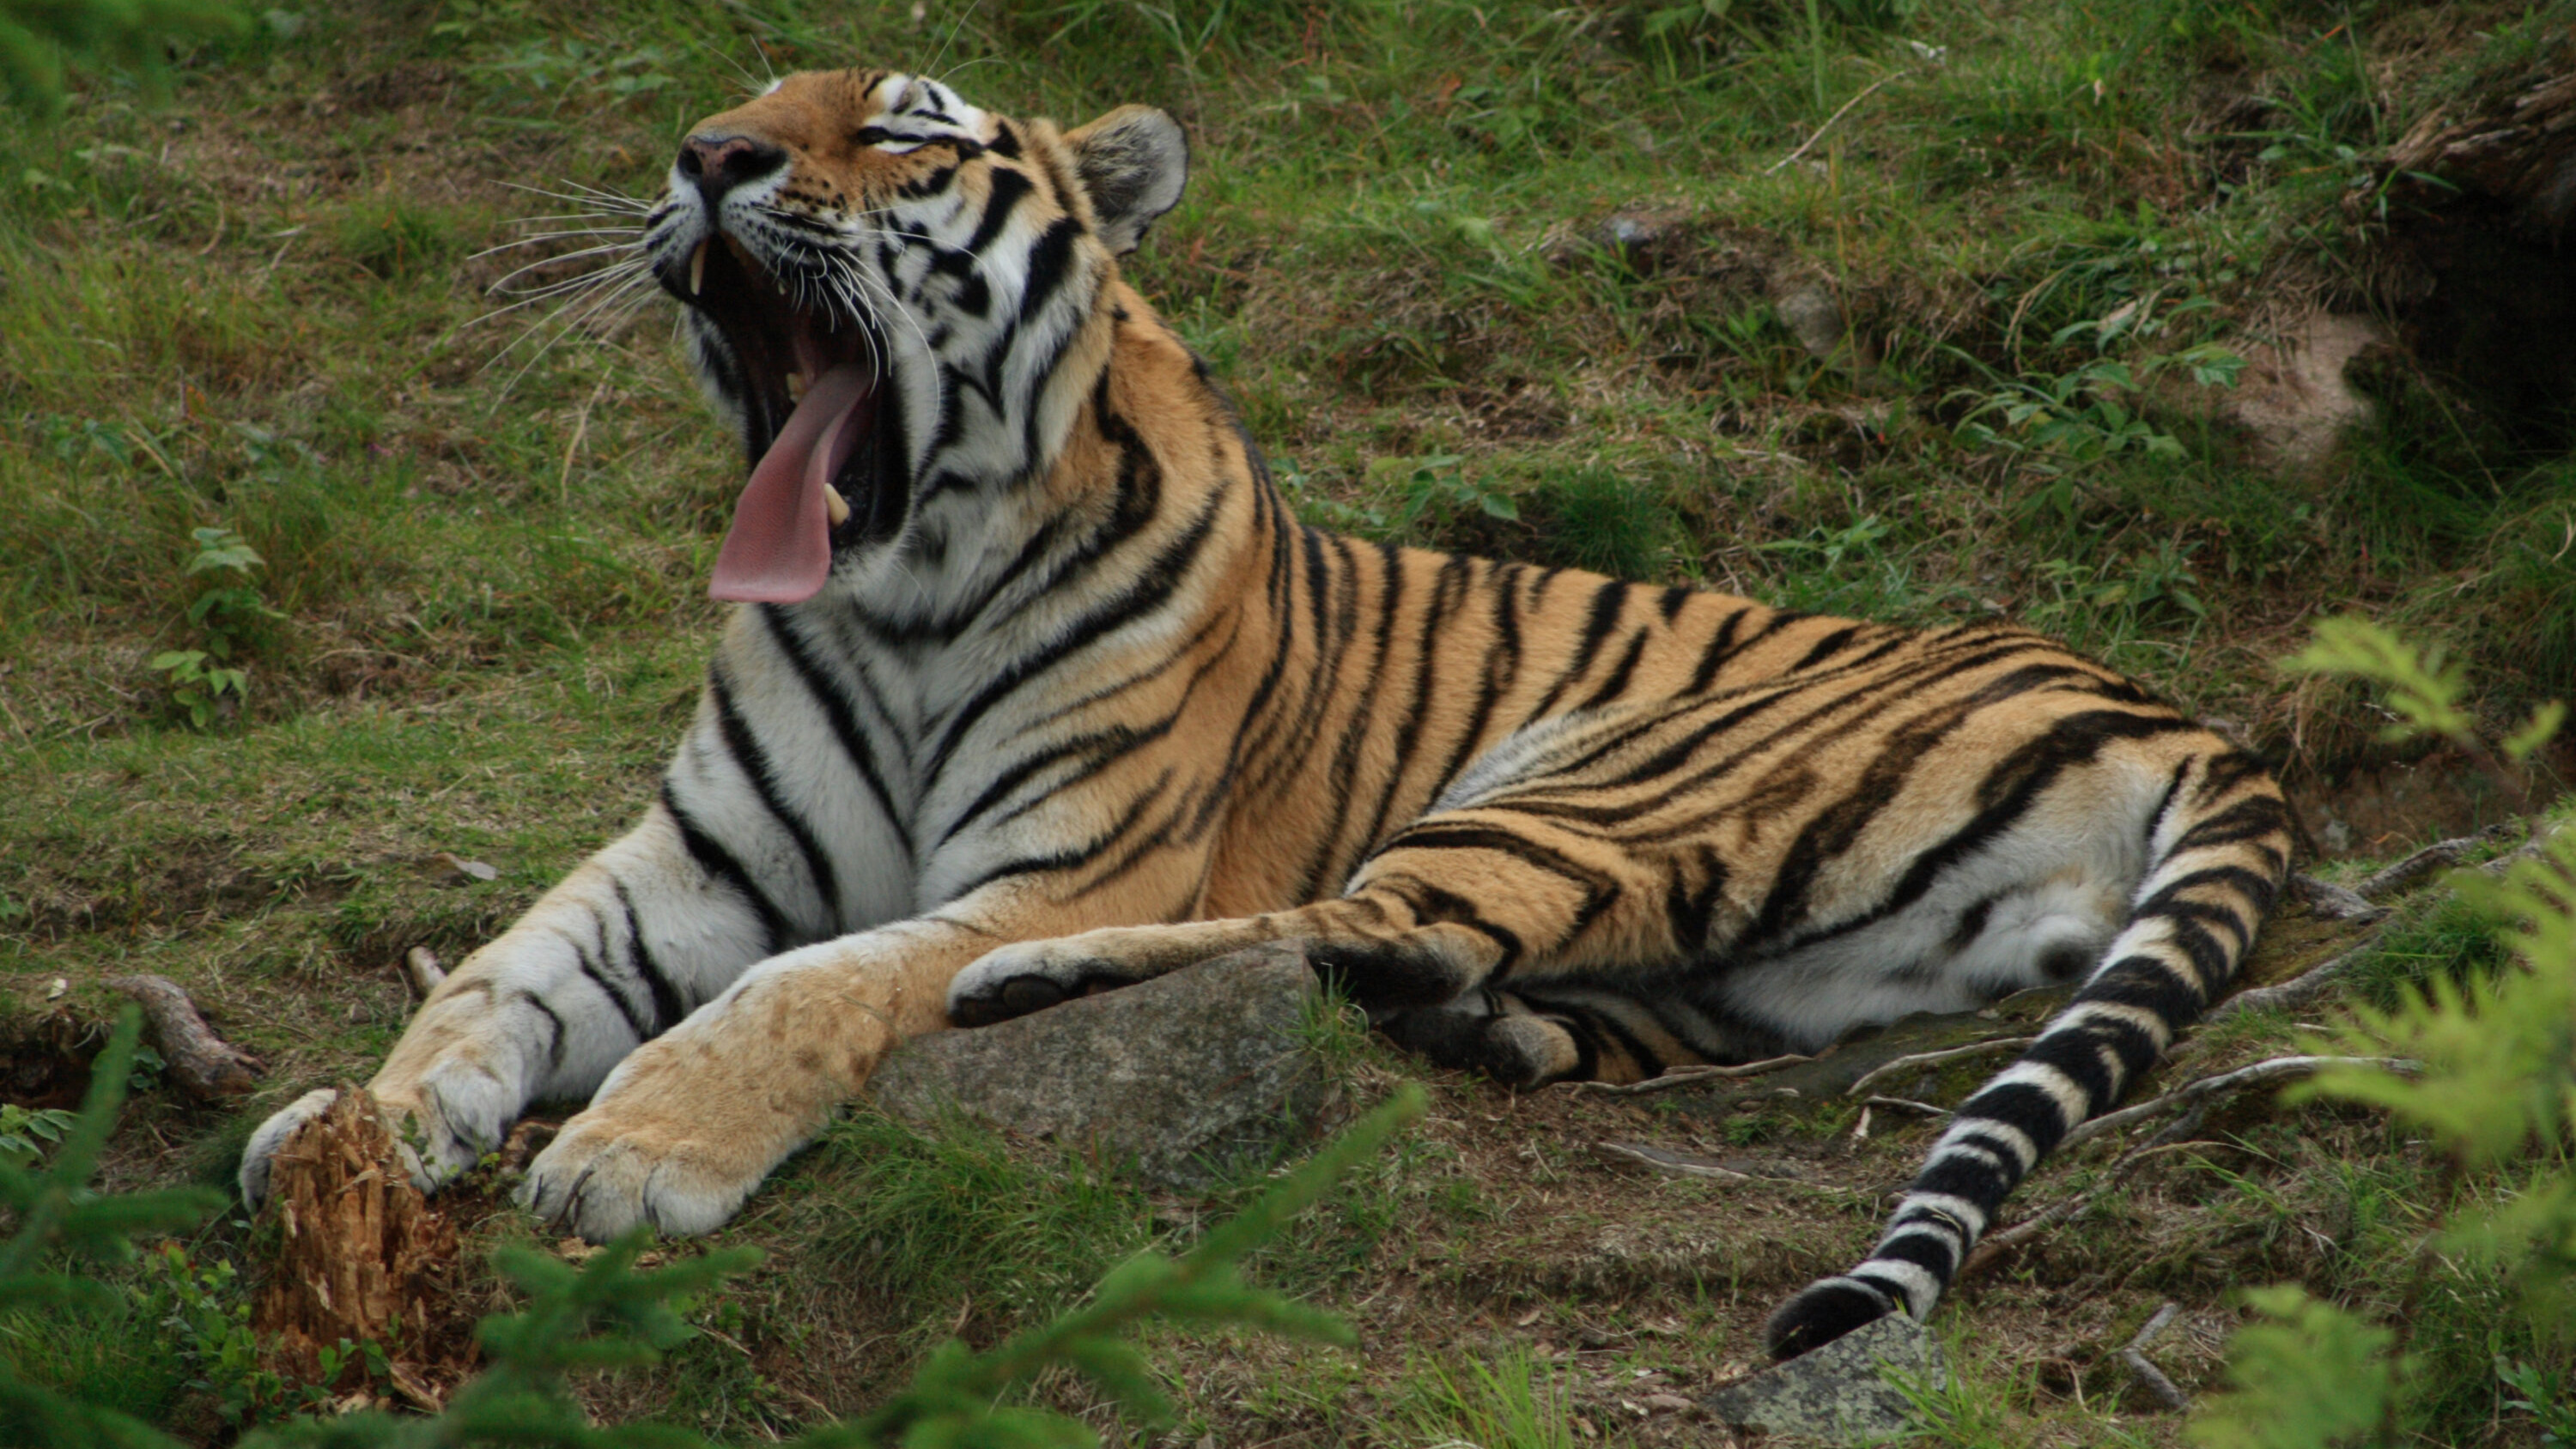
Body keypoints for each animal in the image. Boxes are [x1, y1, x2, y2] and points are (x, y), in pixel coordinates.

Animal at [238, 67, 2291, 1360]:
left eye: (897, 132)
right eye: (737, 111)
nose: (706, 156)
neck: (897, 583)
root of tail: (2176, 709)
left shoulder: (1069, 856)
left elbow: (808, 985)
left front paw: (631, 1154)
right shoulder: (688, 863)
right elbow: (490, 978)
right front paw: (349, 1131)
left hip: (1598, 775)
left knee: (1326, 921)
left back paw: (1045, 991)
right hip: (1774, 967)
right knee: (1464, 963)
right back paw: (1488, 1039)